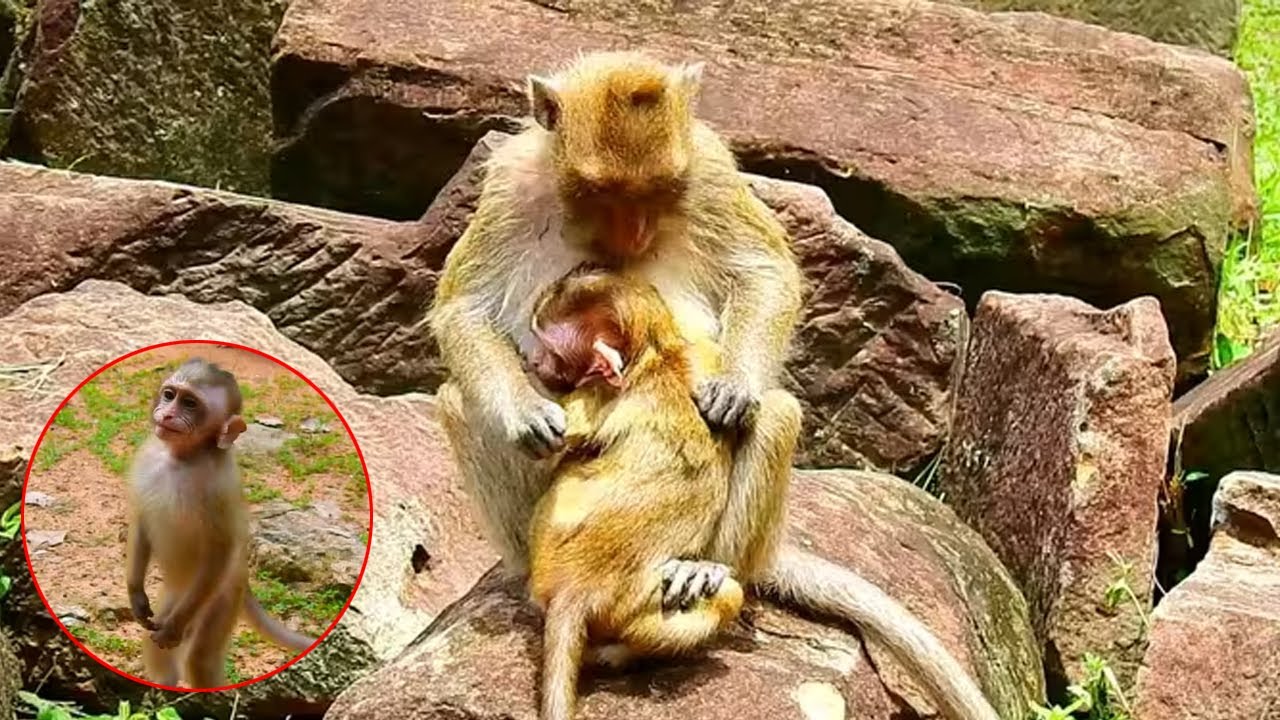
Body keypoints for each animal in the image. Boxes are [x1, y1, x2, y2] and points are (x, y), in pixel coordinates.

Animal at [124, 358, 315, 689]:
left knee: (200, 657)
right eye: (170, 395)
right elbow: (142, 520)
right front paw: (136, 595)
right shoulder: (147, 456)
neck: (183, 458)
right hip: (176, 595)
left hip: (220, 596)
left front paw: (173, 630)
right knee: (156, 647)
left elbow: (219, 549)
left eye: (190, 404)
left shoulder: (218, 489)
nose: (168, 414)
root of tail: (243, 577)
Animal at [524, 267, 748, 720]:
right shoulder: (704, 355)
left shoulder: (592, 395)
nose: (533, 361)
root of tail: (579, 587)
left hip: (544, 560)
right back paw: (617, 654)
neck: (655, 354)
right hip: (633, 601)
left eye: (550, 349)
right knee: (730, 596)